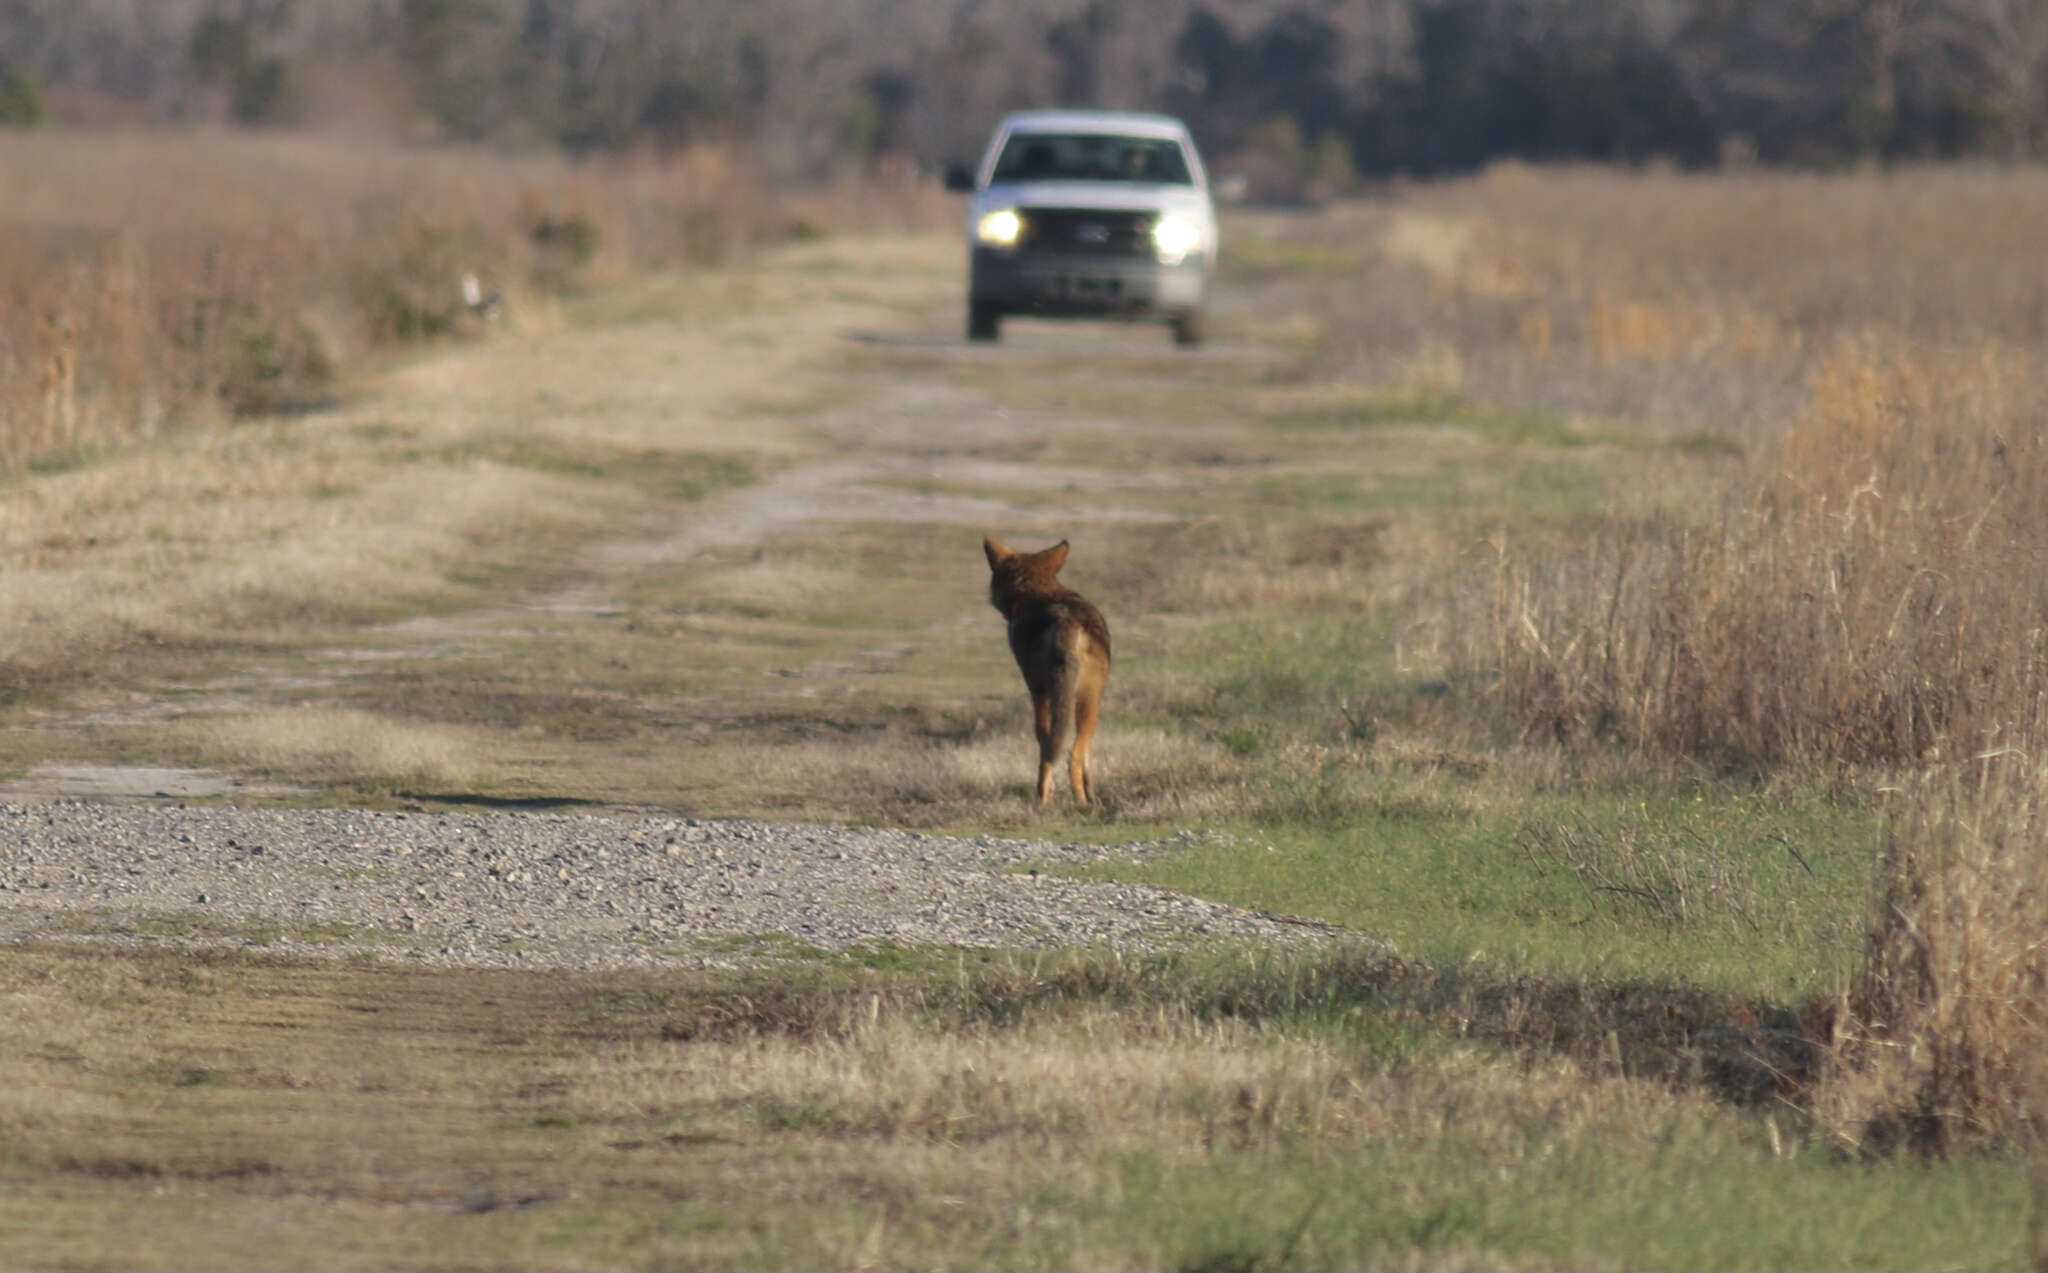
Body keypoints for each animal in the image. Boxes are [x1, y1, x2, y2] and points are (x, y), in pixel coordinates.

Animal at [983, 540, 1114, 806]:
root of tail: (1067, 622)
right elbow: (1087, 759)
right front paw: (1092, 793)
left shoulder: (1036, 688)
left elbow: (1043, 740)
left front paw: (1047, 792)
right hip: (1089, 699)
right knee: (1077, 750)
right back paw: (1084, 801)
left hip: (1055, 693)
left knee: (1061, 754)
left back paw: (1050, 800)